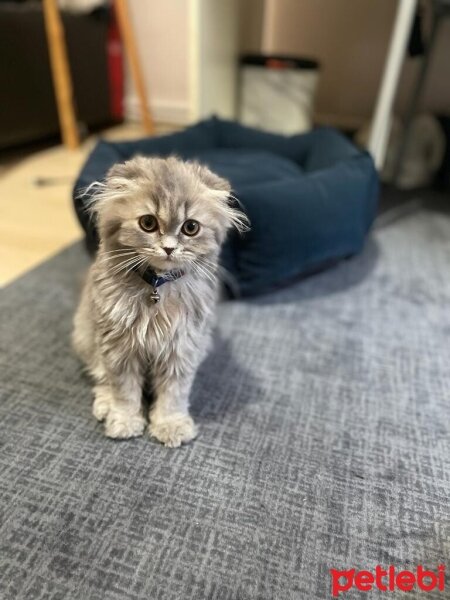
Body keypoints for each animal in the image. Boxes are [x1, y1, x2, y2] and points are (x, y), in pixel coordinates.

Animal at [74, 157, 250, 448]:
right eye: (148, 223)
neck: (157, 287)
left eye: (191, 227)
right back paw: (105, 404)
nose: (169, 248)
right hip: (86, 336)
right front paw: (125, 421)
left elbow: (173, 395)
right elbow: (123, 391)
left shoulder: (182, 347)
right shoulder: (118, 348)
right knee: (101, 378)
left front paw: (171, 426)